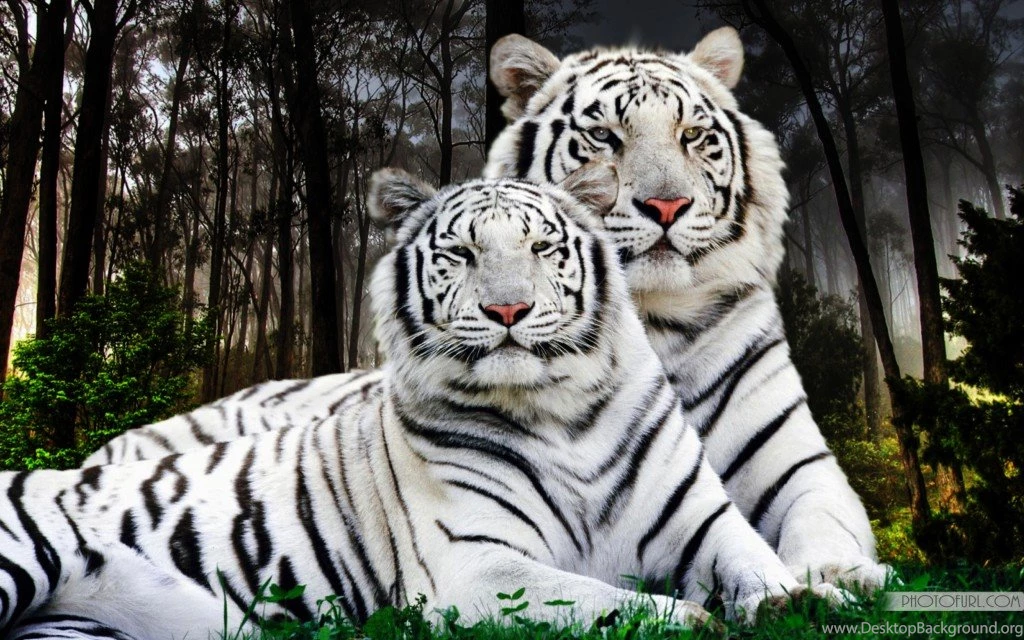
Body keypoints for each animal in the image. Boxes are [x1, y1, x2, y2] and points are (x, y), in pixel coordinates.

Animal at [2, 165, 833, 638]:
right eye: (461, 254)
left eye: (542, 248)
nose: (508, 311)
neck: (563, 414)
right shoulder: (474, 565)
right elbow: (593, 597)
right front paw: (689, 617)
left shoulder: (700, 522)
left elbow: (754, 560)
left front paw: (801, 599)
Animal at [83, 27, 888, 591]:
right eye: (604, 137)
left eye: (694, 137)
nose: (665, 206)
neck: (651, 322)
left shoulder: (795, 464)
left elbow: (822, 521)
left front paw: (838, 578)